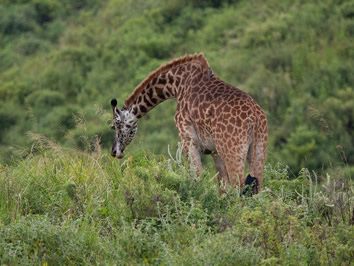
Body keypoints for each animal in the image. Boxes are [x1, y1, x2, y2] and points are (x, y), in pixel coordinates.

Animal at [109, 53, 266, 194]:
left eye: (115, 126)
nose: (114, 152)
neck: (177, 85)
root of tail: (254, 118)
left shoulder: (188, 141)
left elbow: (197, 180)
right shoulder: (215, 151)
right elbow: (222, 189)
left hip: (232, 152)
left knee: (240, 187)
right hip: (259, 150)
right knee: (254, 187)